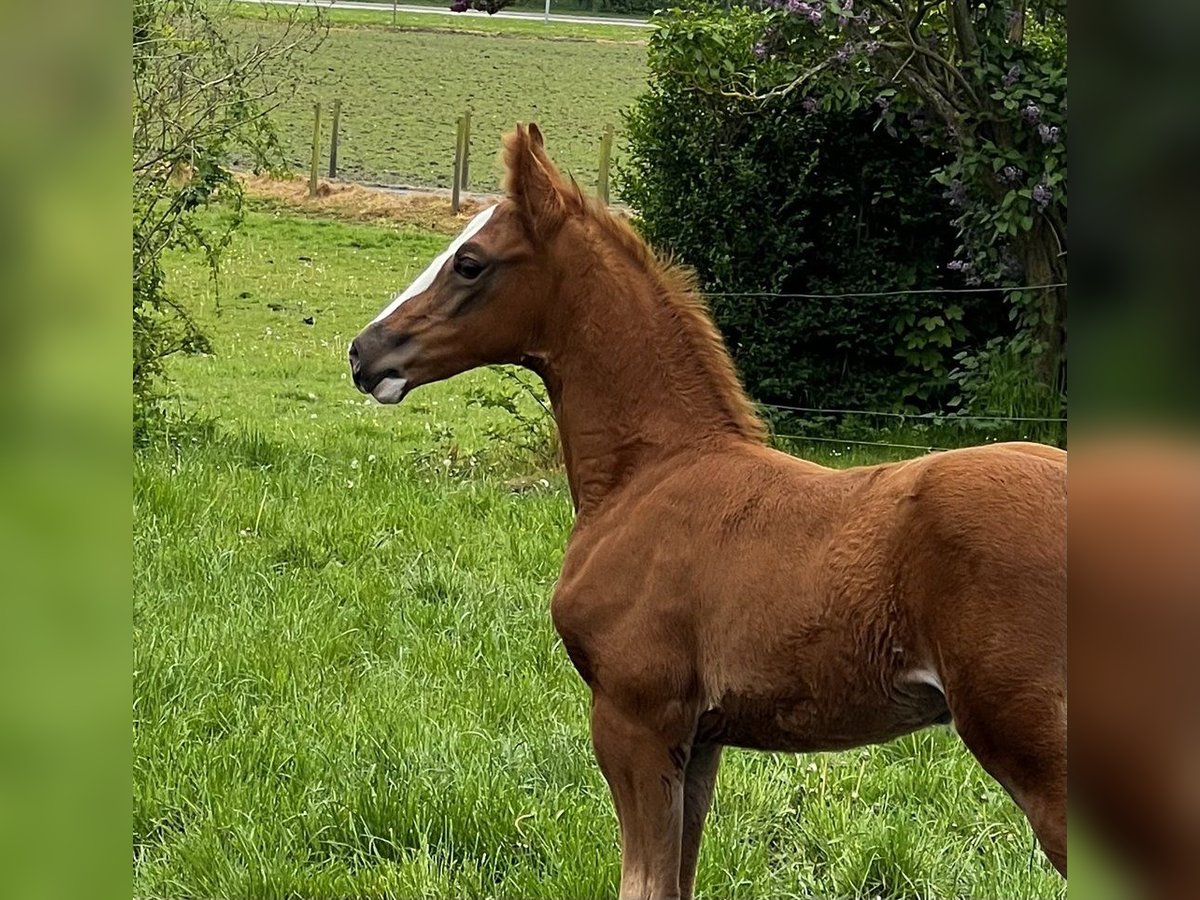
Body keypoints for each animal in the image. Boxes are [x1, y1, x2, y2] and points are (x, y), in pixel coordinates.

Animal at [350, 123, 1070, 897]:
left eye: (470, 263)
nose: (364, 352)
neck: (650, 473)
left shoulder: (634, 719)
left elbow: (642, 882)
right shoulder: (699, 739)